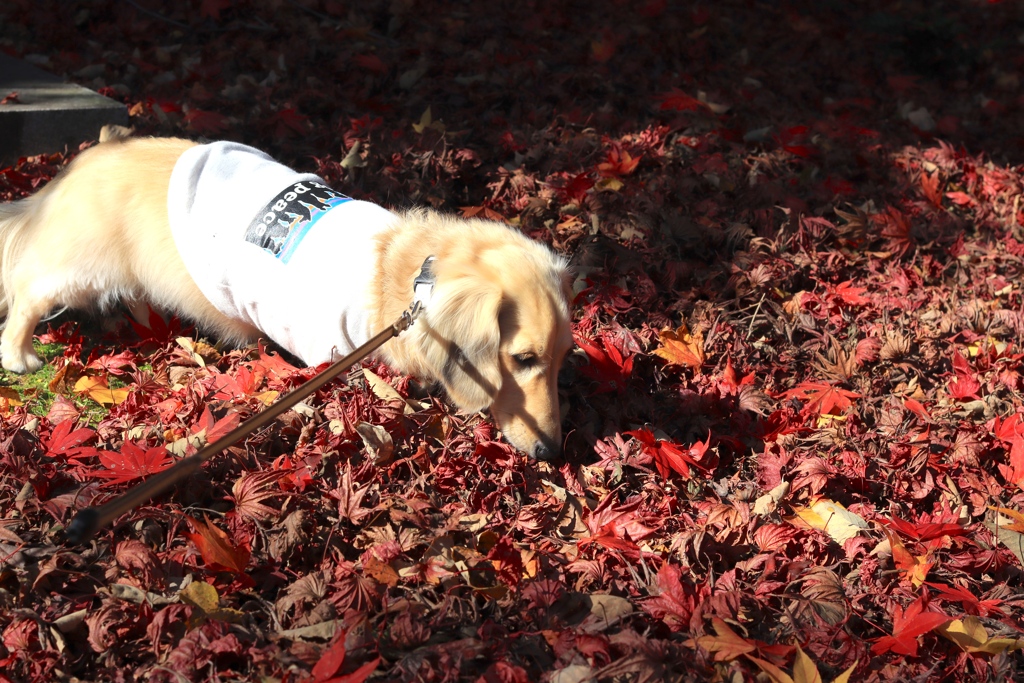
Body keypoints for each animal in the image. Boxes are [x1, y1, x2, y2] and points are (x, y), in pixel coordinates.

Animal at [0, 136, 573, 458]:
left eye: (563, 358)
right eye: (522, 358)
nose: (553, 453)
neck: (406, 277)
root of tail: (77, 167)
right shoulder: (331, 354)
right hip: (78, 268)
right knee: (28, 290)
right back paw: (19, 354)